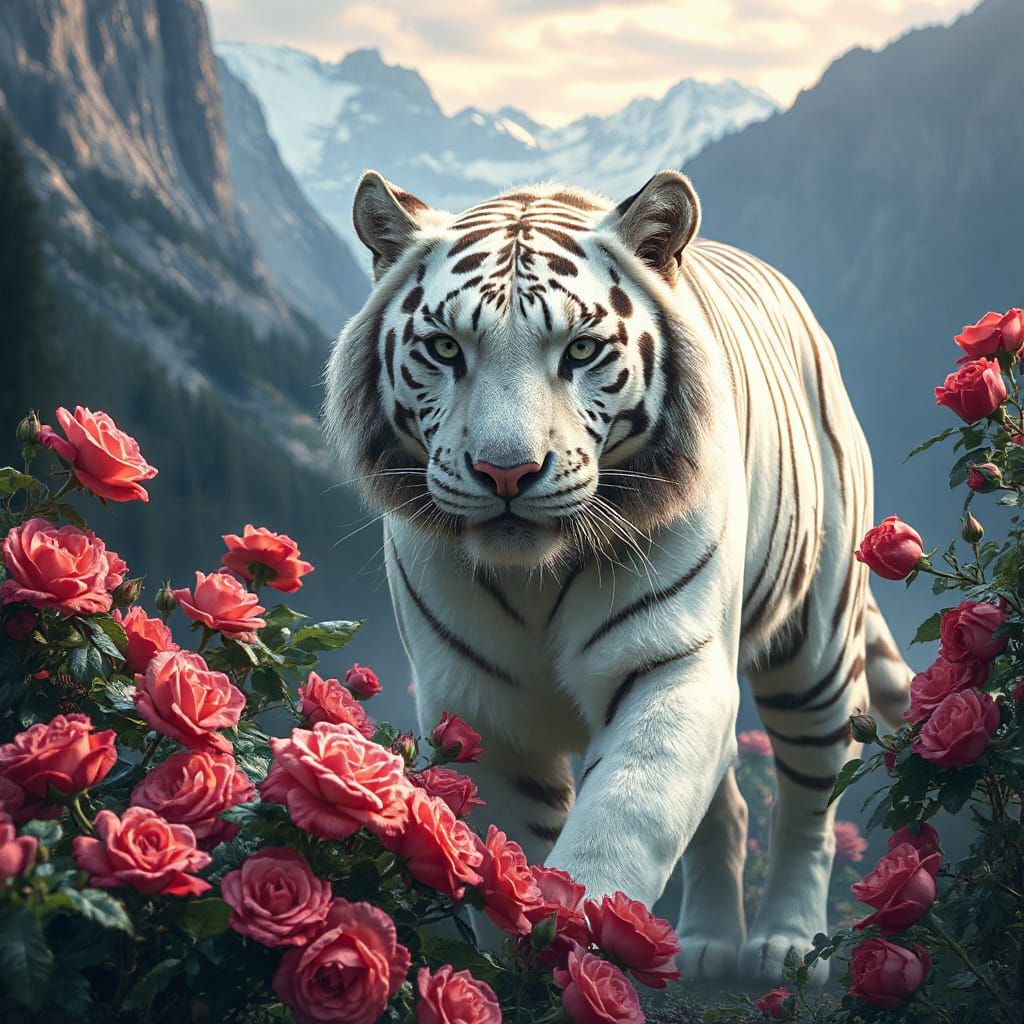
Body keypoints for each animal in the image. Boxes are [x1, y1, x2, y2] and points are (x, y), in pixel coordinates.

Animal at [323, 168, 912, 984]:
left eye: (580, 349)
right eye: (444, 348)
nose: (506, 472)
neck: (534, 577)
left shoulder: (672, 667)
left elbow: (621, 824)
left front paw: (574, 952)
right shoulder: (479, 706)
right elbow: (511, 855)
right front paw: (515, 966)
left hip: (815, 646)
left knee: (811, 799)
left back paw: (785, 945)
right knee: (729, 805)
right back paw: (705, 946)